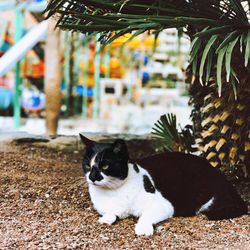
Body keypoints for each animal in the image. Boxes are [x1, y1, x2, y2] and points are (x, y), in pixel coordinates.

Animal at [79, 134, 247, 235]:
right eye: (87, 165)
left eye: (105, 166)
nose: (92, 177)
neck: (112, 191)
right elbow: (111, 213)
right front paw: (107, 218)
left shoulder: (162, 204)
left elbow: (145, 216)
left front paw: (142, 228)